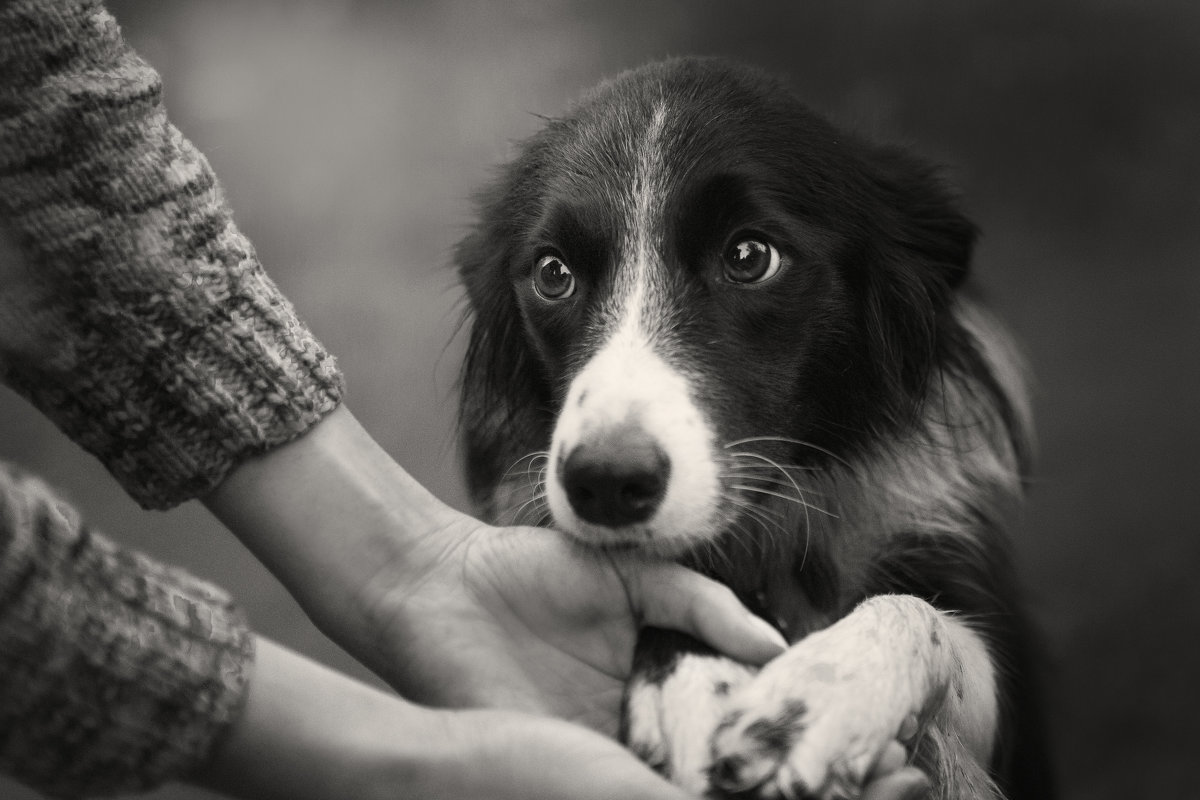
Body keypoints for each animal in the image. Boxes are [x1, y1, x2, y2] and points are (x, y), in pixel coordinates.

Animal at [453, 57, 1056, 800]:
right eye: (552, 272)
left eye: (749, 257)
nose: (605, 482)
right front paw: (695, 676)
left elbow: (916, 611)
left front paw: (820, 694)